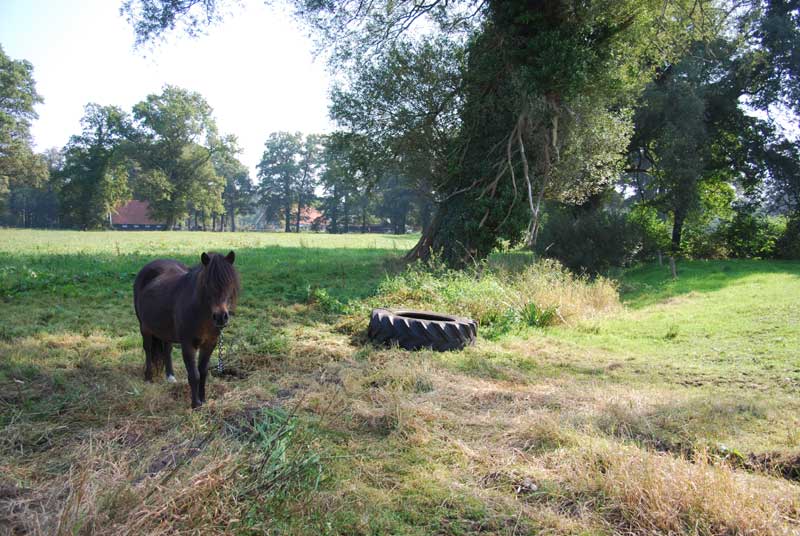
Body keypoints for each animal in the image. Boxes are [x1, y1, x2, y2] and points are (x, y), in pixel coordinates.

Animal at [133, 250, 239, 406]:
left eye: (230, 283)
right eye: (206, 284)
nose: (221, 317)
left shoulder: (210, 344)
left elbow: (203, 372)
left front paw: (203, 400)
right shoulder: (188, 344)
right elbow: (194, 374)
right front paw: (195, 404)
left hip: (166, 330)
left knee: (167, 349)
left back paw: (170, 377)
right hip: (144, 327)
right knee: (148, 349)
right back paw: (148, 378)